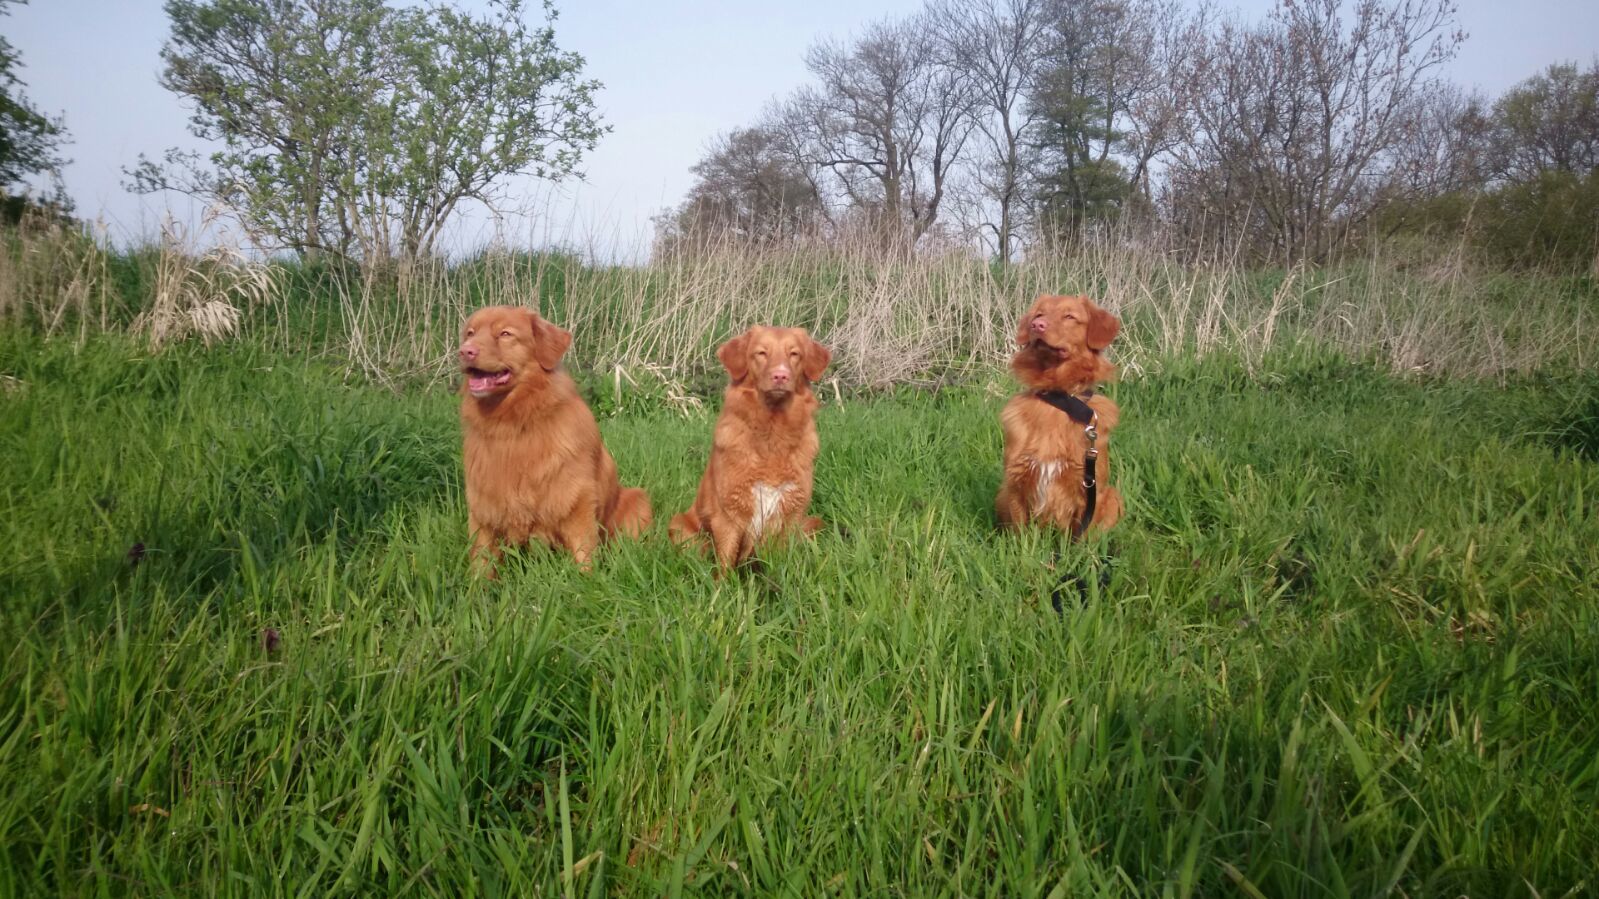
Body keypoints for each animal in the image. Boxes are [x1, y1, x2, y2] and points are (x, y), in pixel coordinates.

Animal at [457, 303, 649, 569]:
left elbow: (584, 555)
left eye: (505, 334)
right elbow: (481, 562)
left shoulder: (576, 501)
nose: (465, 351)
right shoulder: (483, 508)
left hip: (638, 500)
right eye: (470, 333)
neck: (514, 425)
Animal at [668, 323, 831, 566]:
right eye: (761, 353)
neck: (772, 431)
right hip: (681, 527)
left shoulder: (792, 513)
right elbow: (725, 563)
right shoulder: (728, 515)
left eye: (794, 354)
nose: (780, 375)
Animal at [984, 292, 1125, 531]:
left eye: (1069, 316)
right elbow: (1019, 535)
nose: (1037, 325)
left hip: (1113, 497)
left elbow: (1081, 537)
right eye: (1039, 314)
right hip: (1001, 494)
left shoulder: (1088, 488)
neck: (1058, 397)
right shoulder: (1015, 482)